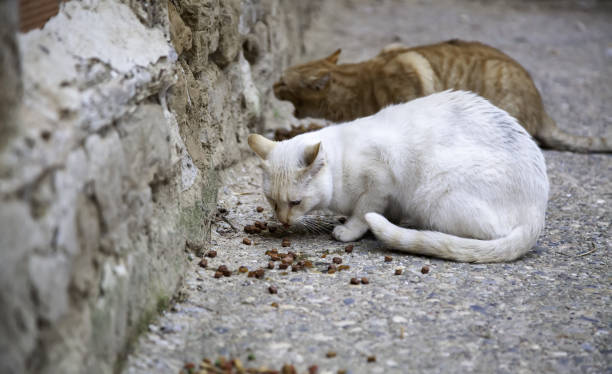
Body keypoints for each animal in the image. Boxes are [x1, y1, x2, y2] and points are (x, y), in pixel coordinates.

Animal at [249, 90, 548, 262]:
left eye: (295, 203)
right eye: (272, 202)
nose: (283, 221)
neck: (341, 161)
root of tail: (537, 210)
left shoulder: (380, 180)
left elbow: (364, 212)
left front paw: (350, 230)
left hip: (434, 194)